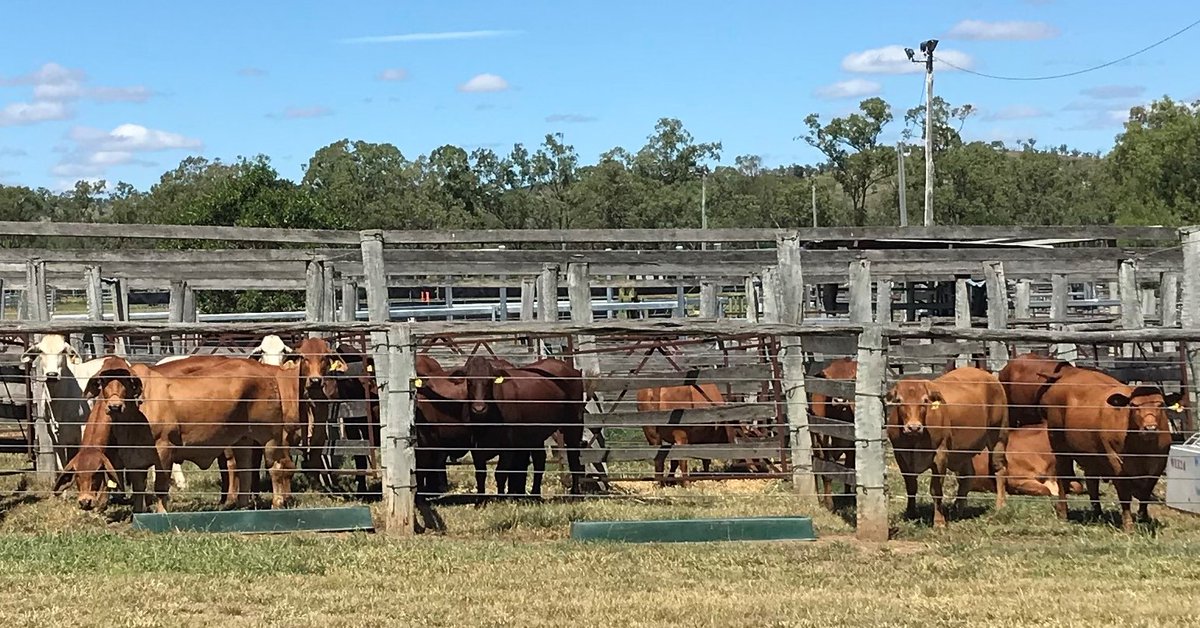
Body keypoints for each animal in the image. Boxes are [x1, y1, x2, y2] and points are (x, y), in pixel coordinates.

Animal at [811, 357, 859, 511]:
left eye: (850, 379)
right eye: (829, 378)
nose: (839, 400)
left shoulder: (852, 446)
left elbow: (849, 469)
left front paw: (850, 499)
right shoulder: (823, 445)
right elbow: (827, 472)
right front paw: (829, 503)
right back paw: (819, 498)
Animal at [1036, 365, 1176, 533]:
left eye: (1160, 405)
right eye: (1133, 405)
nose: (1150, 428)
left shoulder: (1158, 464)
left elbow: (1145, 493)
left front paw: (1144, 518)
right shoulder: (1115, 461)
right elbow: (1125, 495)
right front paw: (1128, 525)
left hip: (1091, 455)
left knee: (1092, 481)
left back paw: (1097, 513)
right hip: (1058, 444)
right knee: (1062, 478)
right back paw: (1063, 512)